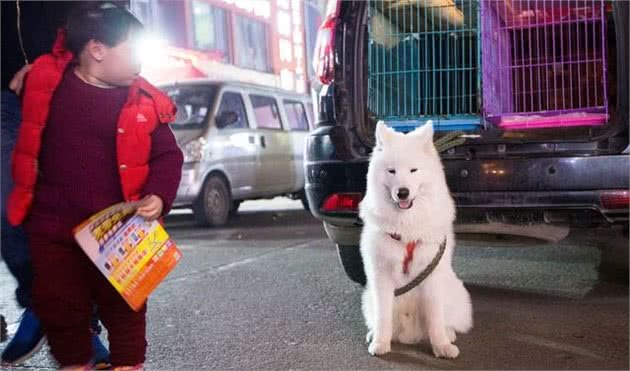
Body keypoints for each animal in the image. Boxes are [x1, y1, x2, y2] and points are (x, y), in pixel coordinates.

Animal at [360, 123, 474, 360]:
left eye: (413, 170)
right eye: (391, 171)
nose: (402, 192)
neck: (406, 228)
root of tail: (409, 334)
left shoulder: (430, 272)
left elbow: (435, 317)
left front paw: (441, 346)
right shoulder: (381, 276)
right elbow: (383, 316)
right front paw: (380, 342)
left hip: (455, 292)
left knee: (448, 321)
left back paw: (449, 334)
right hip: (367, 296)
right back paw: (374, 333)